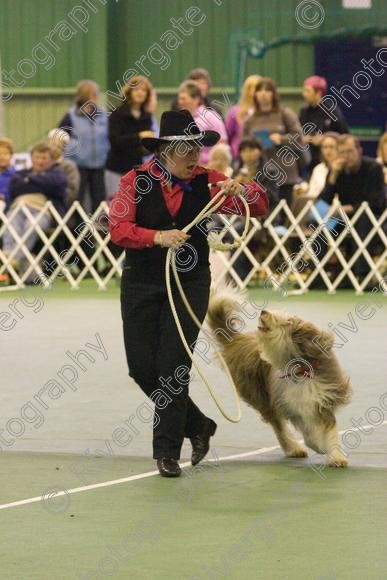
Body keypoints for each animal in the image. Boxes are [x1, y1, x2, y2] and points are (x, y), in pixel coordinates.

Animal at [208, 288, 354, 466]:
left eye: (287, 322)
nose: (264, 312)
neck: (301, 371)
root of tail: (238, 339)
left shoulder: (323, 398)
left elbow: (330, 430)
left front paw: (336, 457)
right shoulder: (290, 404)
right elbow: (307, 434)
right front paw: (319, 446)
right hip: (261, 396)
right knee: (278, 427)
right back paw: (294, 448)